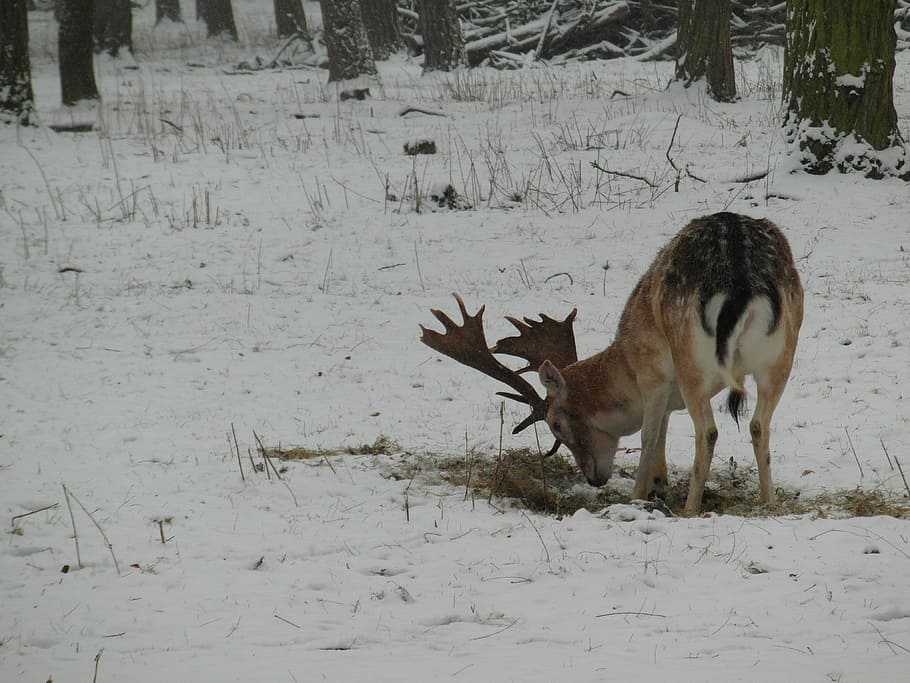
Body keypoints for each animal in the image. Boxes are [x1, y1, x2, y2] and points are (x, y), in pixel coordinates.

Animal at [420, 212, 804, 516]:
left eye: (555, 424)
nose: (593, 478)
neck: (626, 364)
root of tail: (741, 280)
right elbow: (662, 433)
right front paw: (658, 487)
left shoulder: (653, 375)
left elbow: (649, 436)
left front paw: (638, 495)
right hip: (782, 353)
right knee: (758, 425)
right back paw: (769, 504)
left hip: (691, 360)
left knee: (708, 431)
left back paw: (690, 509)